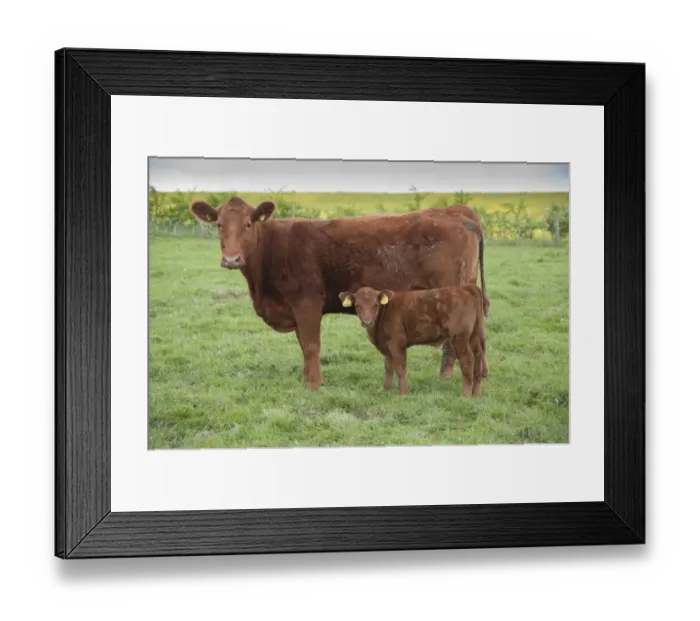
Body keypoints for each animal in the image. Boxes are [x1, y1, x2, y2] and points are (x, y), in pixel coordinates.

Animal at [338, 284, 486, 397]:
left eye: (375, 305)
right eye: (357, 305)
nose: (367, 322)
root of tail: (465, 287)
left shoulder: (397, 342)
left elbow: (400, 368)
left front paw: (402, 394)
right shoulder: (387, 345)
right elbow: (388, 367)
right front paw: (386, 390)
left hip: (460, 337)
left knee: (468, 360)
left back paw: (466, 395)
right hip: (474, 335)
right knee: (478, 355)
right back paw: (477, 393)